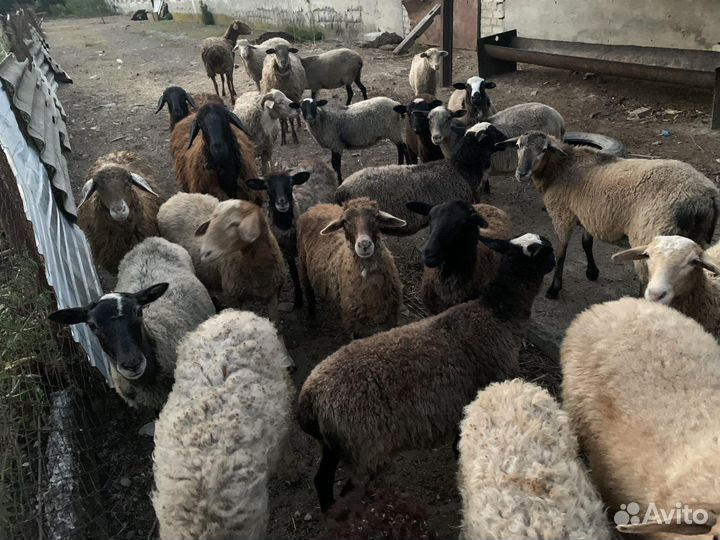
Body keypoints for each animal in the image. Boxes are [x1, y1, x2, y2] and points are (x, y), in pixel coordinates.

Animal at [246, 163, 337, 309]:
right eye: (267, 187)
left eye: (290, 184)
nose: (282, 203)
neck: (285, 226)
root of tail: (315, 160)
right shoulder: (287, 251)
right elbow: (294, 274)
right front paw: (298, 300)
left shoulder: (303, 249)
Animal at [297, 198, 406, 337]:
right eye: (345, 221)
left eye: (376, 217)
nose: (364, 244)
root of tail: (317, 205)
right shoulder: (353, 321)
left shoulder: (391, 317)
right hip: (302, 262)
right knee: (308, 291)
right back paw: (311, 318)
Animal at [297, 233, 556, 512]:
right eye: (543, 250)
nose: (553, 261)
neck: (498, 314)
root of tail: (310, 395)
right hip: (364, 448)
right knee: (348, 489)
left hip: (333, 444)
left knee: (322, 481)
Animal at [511, 131, 720, 299]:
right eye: (518, 146)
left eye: (543, 149)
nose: (521, 173)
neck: (561, 168)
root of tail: (705, 194)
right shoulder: (588, 214)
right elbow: (586, 243)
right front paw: (592, 272)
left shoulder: (563, 216)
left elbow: (561, 253)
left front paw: (554, 289)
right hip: (698, 237)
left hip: (652, 233)